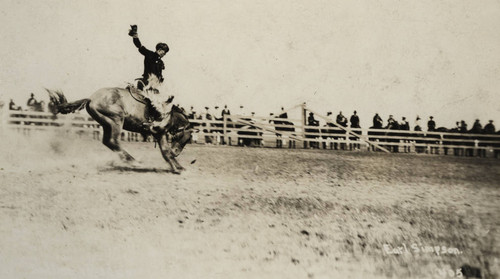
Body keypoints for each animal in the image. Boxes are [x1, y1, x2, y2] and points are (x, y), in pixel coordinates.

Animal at [47, 87, 194, 175]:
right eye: (186, 139)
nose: (177, 152)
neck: (169, 114)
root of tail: (91, 99)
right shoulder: (159, 132)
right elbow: (166, 151)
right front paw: (177, 167)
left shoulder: (160, 134)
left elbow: (165, 152)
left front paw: (179, 167)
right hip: (116, 120)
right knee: (113, 141)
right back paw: (134, 161)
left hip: (107, 124)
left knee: (108, 142)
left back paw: (129, 160)